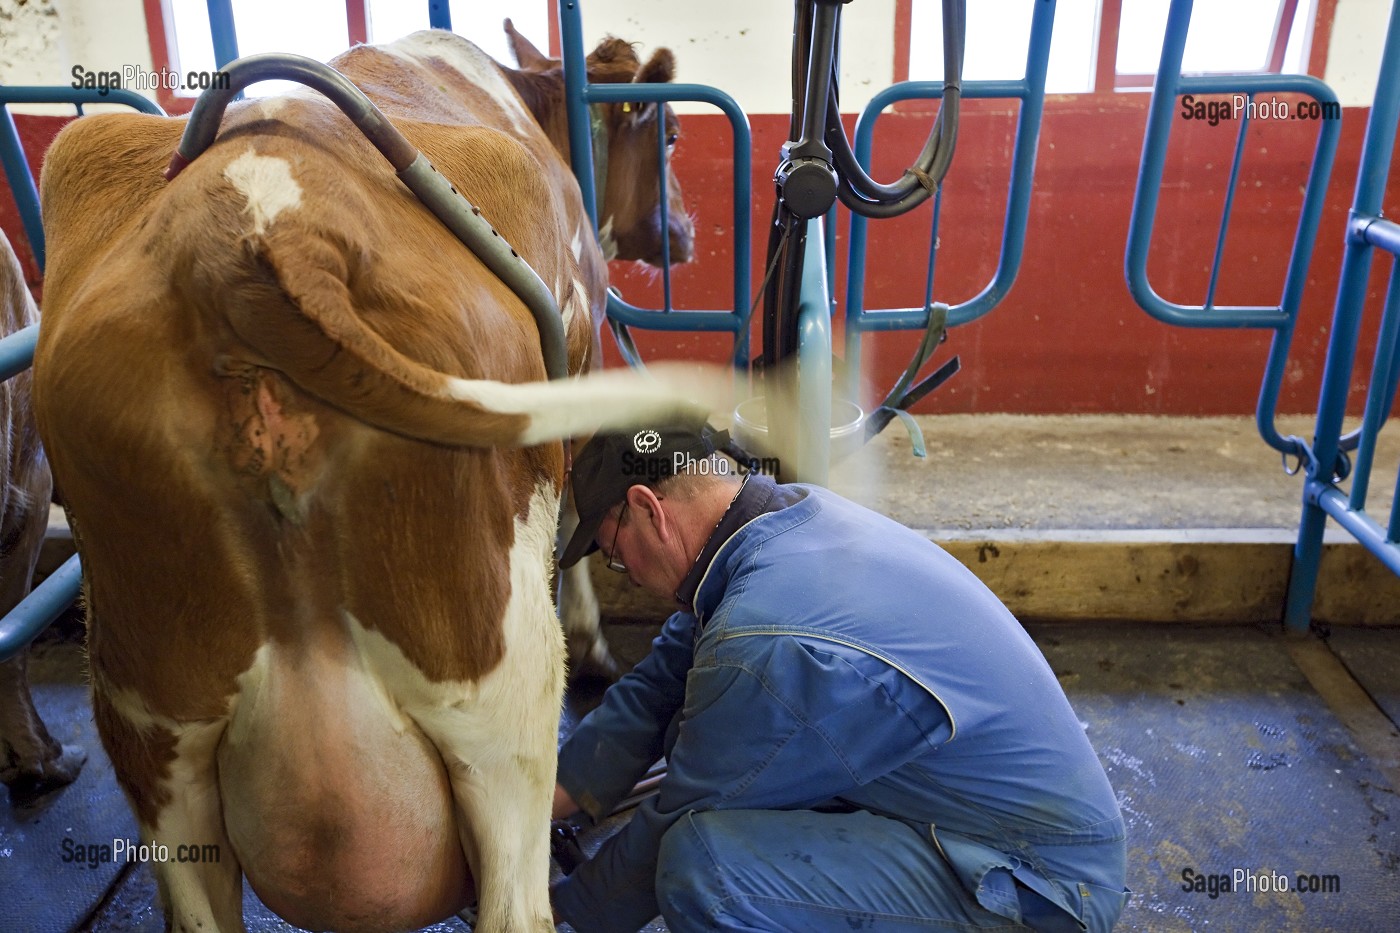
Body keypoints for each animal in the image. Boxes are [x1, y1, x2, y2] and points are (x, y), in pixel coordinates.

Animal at [38, 25, 716, 924]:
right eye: (669, 135)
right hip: (499, 691)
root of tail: (249, 234)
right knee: (514, 894)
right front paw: (597, 642)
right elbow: (578, 508)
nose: (687, 233)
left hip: (154, 725)